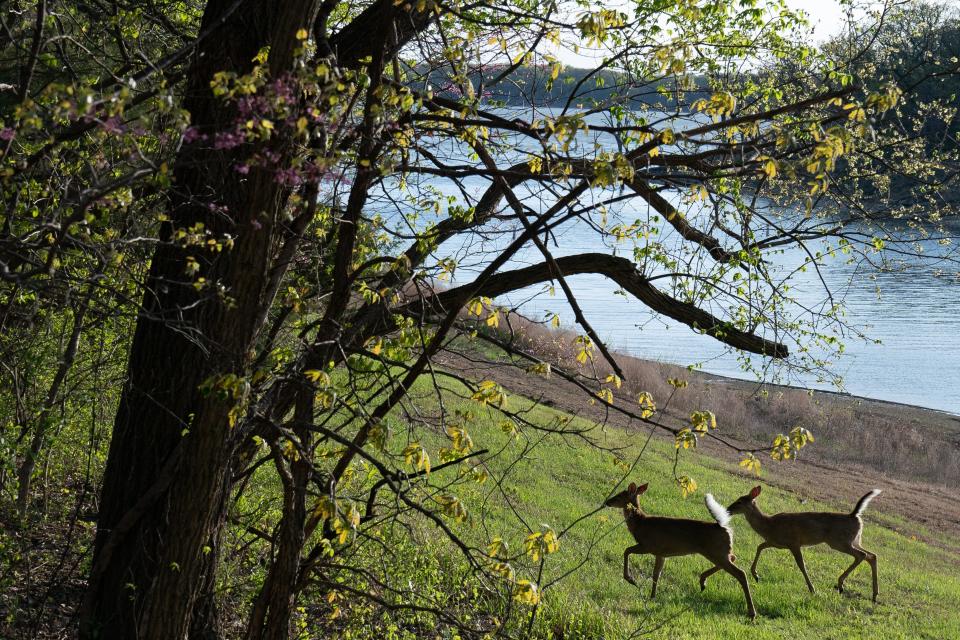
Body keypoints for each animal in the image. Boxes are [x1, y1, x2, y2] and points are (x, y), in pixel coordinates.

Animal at [608, 482, 756, 616]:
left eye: (619, 496)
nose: (607, 502)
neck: (640, 524)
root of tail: (724, 528)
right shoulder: (661, 553)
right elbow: (656, 574)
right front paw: (652, 597)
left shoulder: (649, 545)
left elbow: (626, 551)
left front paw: (630, 579)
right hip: (719, 552)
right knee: (733, 557)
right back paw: (702, 581)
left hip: (716, 552)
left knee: (741, 573)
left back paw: (751, 612)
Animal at [724, 488, 880, 604]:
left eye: (739, 501)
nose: (728, 509)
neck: (769, 525)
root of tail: (854, 515)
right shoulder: (774, 542)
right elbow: (759, 547)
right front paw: (756, 575)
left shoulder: (794, 543)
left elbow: (801, 565)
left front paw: (812, 589)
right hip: (854, 540)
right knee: (872, 555)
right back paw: (874, 595)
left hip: (839, 541)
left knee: (862, 555)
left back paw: (841, 585)